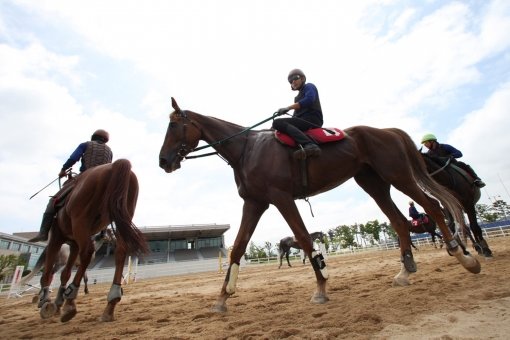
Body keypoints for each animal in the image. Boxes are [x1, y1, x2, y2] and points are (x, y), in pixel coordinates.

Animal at [35, 159, 147, 324]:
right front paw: (57, 302)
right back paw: (110, 303)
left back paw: (70, 301)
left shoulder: (56, 237)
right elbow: (65, 274)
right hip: (122, 216)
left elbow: (48, 272)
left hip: (81, 222)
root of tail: (115, 165)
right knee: (120, 252)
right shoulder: (73, 243)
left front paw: (45, 301)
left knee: (87, 252)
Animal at [159, 97, 482, 312]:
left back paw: (464, 257)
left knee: (433, 207)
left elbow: (303, 238)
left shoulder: (281, 198)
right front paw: (223, 297)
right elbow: (237, 248)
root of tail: (388, 131)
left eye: (174, 125)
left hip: (398, 176)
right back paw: (405, 271)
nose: (163, 161)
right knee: (400, 221)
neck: (247, 148)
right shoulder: (255, 203)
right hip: (374, 185)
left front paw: (321, 286)